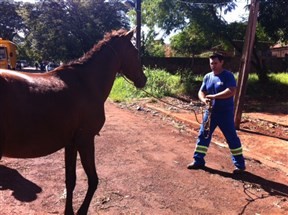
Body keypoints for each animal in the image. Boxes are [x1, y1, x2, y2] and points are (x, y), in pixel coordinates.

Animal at [0, 29, 146, 214]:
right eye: (135, 52)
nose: (144, 79)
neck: (86, 83)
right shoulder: (86, 140)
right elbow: (93, 180)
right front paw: (81, 210)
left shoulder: (71, 143)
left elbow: (70, 180)